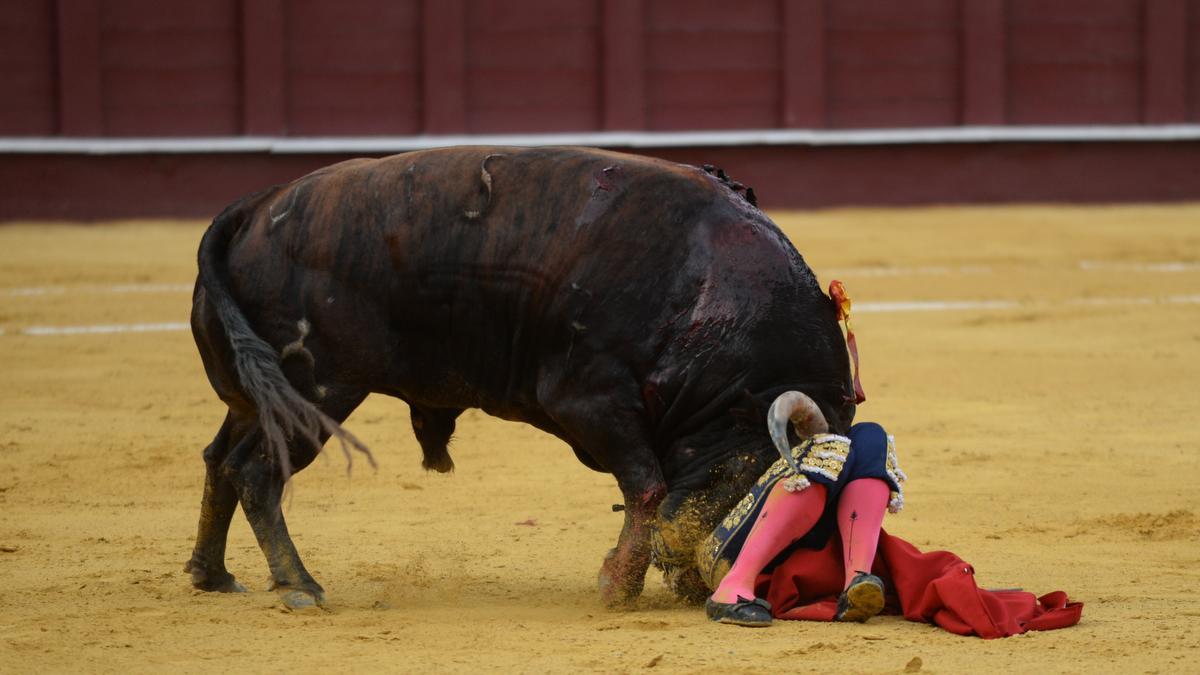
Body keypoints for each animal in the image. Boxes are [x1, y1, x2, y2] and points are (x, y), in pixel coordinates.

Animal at [184, 144, 854, 607]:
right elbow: (647, 489)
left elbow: (650, 491)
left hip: (254, 397)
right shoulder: (591, 401)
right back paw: (299, 585)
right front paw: (617, 589)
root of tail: (257, 207)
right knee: (256, 472)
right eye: (763, 480)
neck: (706, 301)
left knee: (220, 460)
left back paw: (212, 576)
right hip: (319, 391)